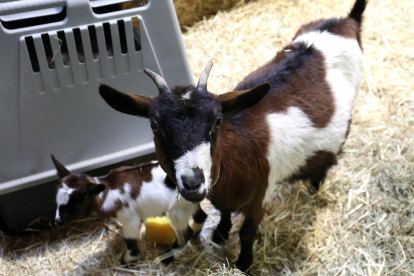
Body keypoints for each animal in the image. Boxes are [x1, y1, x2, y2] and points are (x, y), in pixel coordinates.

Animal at [51, 155, 207, 266]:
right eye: (57, 198)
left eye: (80, 201)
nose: (58, 221)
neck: (106, 192)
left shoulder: (129, 217)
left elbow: (129, 239)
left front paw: (128, 260)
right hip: (189, 206)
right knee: (201, 216)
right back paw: (195, 234)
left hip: (177, 212)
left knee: (185, 233)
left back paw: (167, 258)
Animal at [98, 0, 368, 272]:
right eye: (154, 125)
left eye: (218, 121)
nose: (193, 182)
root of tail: (347, 21)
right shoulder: (222, 196)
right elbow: (224, 212)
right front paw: (219, 234)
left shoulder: (259, 198)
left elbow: (247, 234)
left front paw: (243, 264)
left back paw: (315, 185)